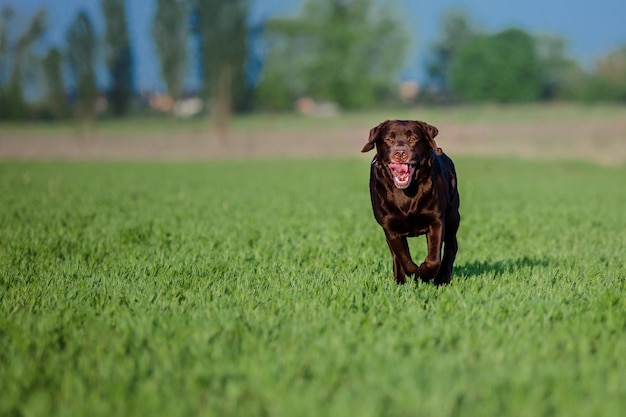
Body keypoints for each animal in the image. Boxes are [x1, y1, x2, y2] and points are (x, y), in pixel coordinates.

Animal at [360, 118, 458, 284]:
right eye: (388, 139)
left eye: (413, 138)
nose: (400, 153)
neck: (407, 192)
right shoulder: (390, 227)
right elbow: (402, 256)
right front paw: (414, 274)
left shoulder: (436, 220)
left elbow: (433, 259)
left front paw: (424, 273)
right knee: (396, 255)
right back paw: (399, 280)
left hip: (453, 216)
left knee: (451, 246)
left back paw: (442, 278)